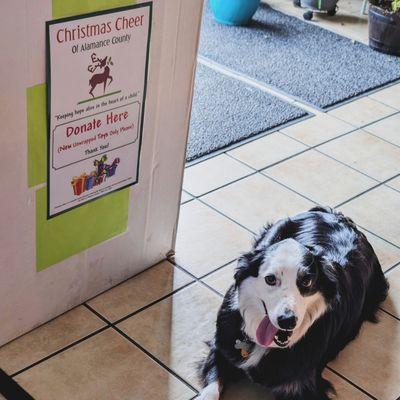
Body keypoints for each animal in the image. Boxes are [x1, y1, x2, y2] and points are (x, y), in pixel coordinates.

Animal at [199, 208, 388, 398]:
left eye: (306, 281)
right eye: (270, 279)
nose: (287, 321)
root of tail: (335, 214)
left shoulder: (302, 385)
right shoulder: (222, 348)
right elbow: (212, 388)